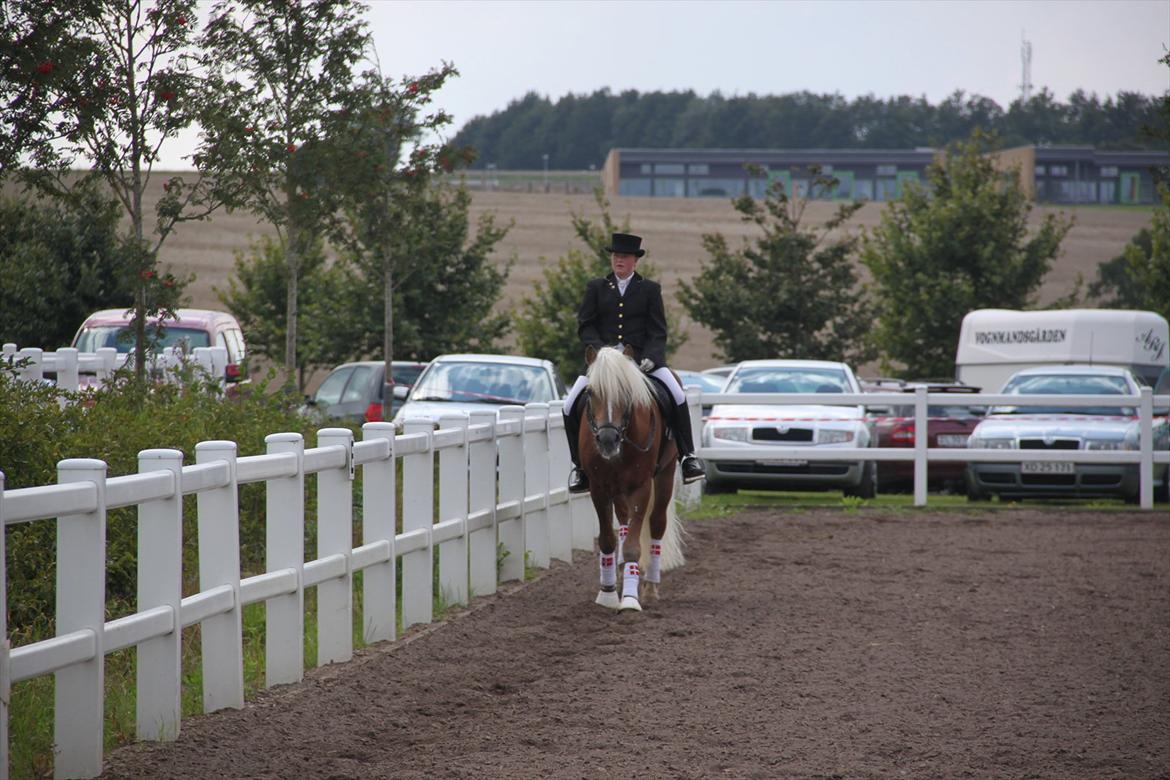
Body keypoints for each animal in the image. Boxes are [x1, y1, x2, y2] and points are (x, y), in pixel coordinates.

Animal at [577, 343, 683, 612]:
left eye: (625, 391)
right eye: (591, 392)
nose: (607, 440)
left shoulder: (641, 487)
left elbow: (634, 547)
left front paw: (630, 601)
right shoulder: (599, 488)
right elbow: (607, 540)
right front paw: (607, 594)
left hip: (665, 475)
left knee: (656, 524)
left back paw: (650, 588)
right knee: (625, 523)